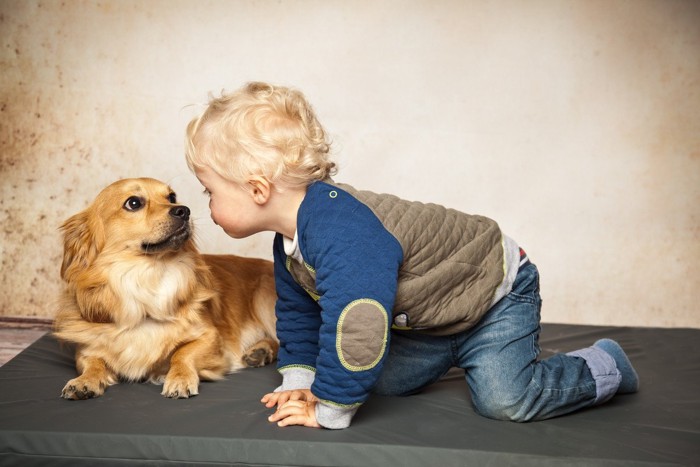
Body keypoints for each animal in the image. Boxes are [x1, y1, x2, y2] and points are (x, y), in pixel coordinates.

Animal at [53, 177, 278, 400]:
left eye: (171, 197)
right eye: (133, 203)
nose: (184, 210)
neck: (148, 279)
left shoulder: (211, 338)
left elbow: (182, 353)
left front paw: (179, 378)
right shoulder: (87, 348)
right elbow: (92, 362)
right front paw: (84, 381)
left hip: (264, 300)